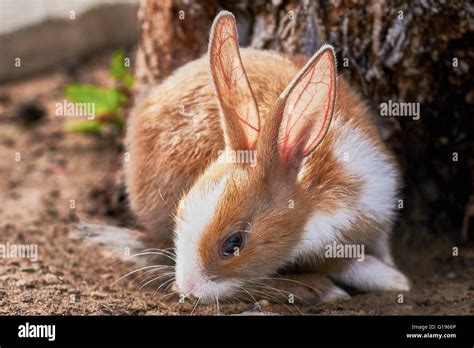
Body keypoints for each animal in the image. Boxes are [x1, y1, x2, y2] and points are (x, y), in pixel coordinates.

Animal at [124, 10, 410, 304]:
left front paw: (396, 277)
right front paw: (390, 279)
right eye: (180, 212)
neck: (315, 193)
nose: (186, 288)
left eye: (233, 243)